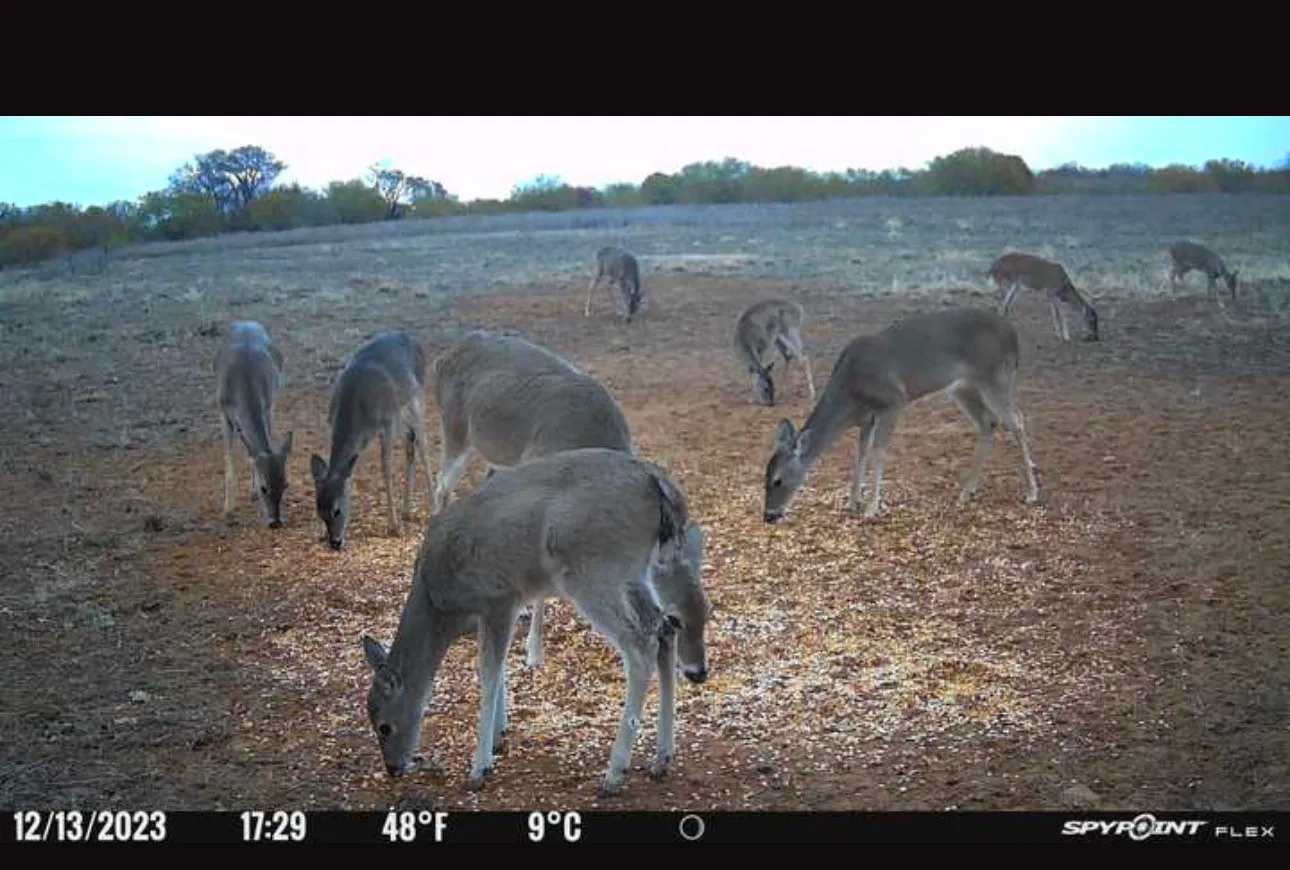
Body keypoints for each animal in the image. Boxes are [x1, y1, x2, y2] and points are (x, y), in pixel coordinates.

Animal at [214, 321, 293, 527]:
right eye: (264, 488)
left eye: (286, 484)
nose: (276, 521)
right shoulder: (223, 412)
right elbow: (229, 459)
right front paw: (228, 510)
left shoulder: (267, 405)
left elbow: (256, 452)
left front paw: (251, 493)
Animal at [309, 331, 436, 550]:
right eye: (319, 510)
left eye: (337, 510)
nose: (335, 542)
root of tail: (412, 339)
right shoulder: (331, 421)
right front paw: (318, 532)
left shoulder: (387, 420)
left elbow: (386, 469)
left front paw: (394, 527)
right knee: (410, 441)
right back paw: (406, 511)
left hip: (415, 396)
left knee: (422, 444)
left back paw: (434, 507)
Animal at [360, 447, 712, 798]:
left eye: (384, 727)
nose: (393, 768)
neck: (439, 601)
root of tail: (659, 483)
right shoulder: (490, 611)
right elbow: (496, 670)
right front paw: (498, 738)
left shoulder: (500, 597)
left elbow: (488, 675)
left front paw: (479, 768)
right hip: (633, 573)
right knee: (663, 629)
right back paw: (661, 759)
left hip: (593, 571)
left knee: (640, 644)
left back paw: (614, 774)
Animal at [763, 307, 1041, 524]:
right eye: (764, 477)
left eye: (778, 480)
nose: (769, 516)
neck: (850, 391)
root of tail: (1013, 335)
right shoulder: (866, 416)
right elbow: (860, 453)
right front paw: (853, 502)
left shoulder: (892, 401)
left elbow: (879, 451)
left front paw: (871, 508)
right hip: (962, 387)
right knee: (988, 422)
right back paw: (967, 491)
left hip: (996, 375)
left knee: (1017, 420)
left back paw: (1031, 491)